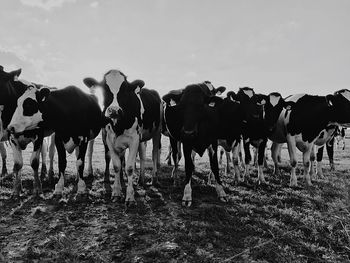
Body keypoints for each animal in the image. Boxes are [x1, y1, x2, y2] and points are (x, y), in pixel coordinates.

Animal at [83, 69, 163, 204]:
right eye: (104, 88)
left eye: (125, 89)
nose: (114, 110)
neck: (119, 126)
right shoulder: (110, 139)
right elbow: (116, 165)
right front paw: (116, 192)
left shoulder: (134, 140)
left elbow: (129, 167)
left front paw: (130, 197)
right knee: (142, 155)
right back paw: (141, 179)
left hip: (157, 132)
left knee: (154, 154)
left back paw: (154, 178)